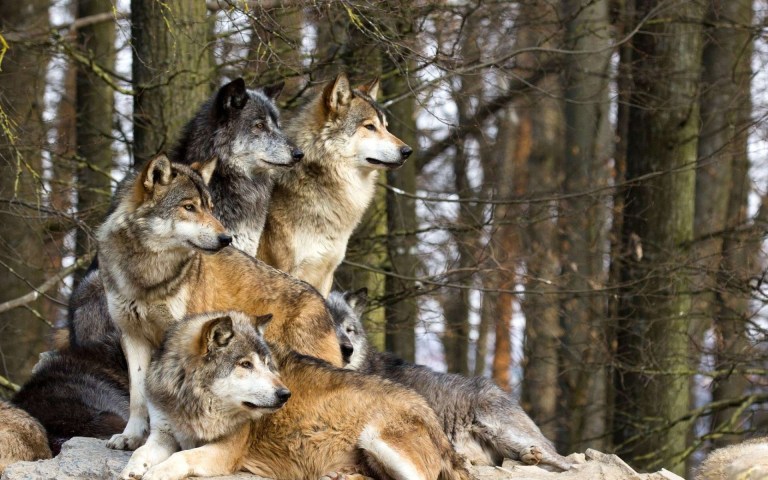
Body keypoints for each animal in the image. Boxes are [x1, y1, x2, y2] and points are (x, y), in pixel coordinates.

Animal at [98, 154, 343, 451]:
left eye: (210, 208)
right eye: (189, 207)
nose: (227, 238)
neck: (148, 276)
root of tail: (322, 301)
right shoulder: (132, 336)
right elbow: (137, 396)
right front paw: (131, 437)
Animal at [121, 310, 471, 480]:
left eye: (267, 364)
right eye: (245, 365)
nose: (284, 394)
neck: (193, 402)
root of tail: (434, 419)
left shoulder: (226, 452)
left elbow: (182, 458)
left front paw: (155, 474)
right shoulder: (164, 434)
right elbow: (141, 452)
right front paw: (133, 470)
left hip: (376, 438)